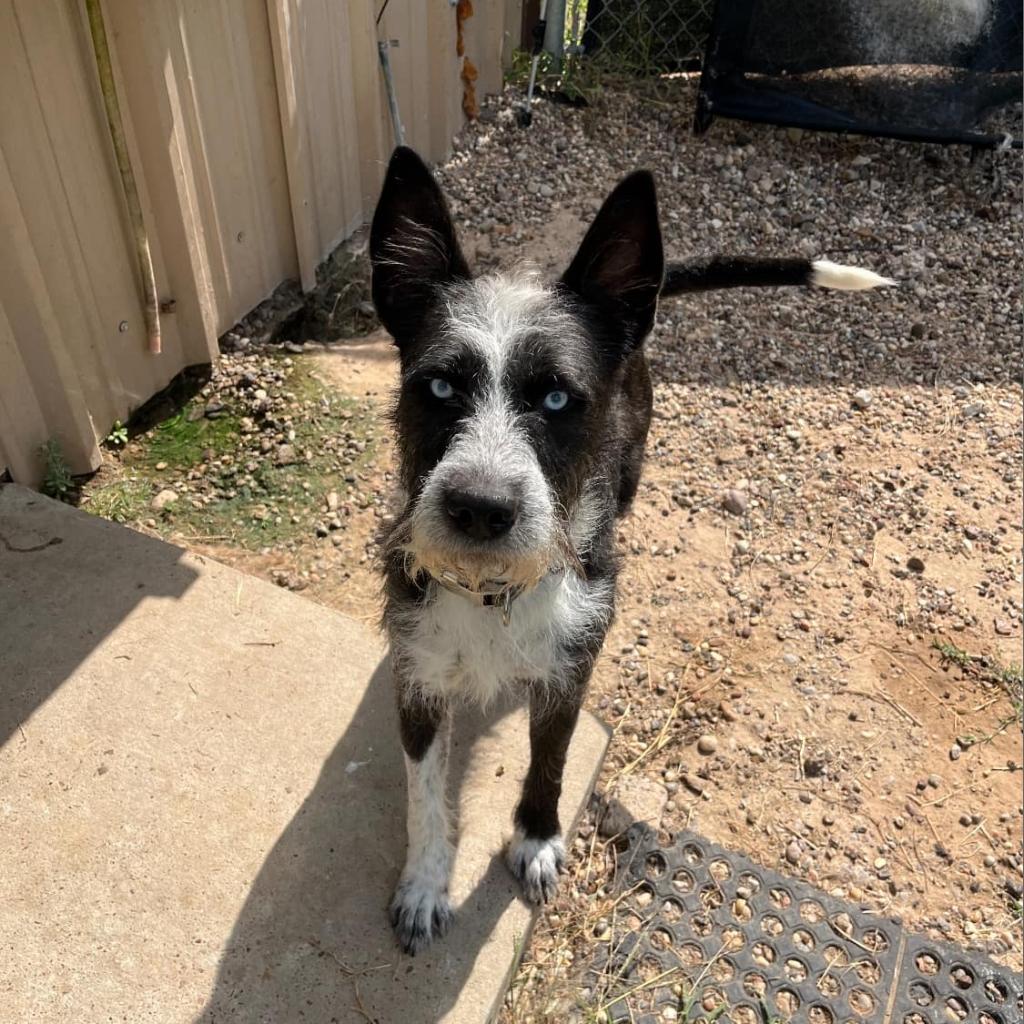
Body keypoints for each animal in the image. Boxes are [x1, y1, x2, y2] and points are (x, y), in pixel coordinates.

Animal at [368, 144, 888, 950]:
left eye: (557, 398)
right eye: (440, 388)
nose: (480, 509)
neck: (494, 592)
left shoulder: (570, 669)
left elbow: (550, 761)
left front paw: (536, 839)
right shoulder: (418, 674)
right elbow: (424, 795)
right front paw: (425, 883)